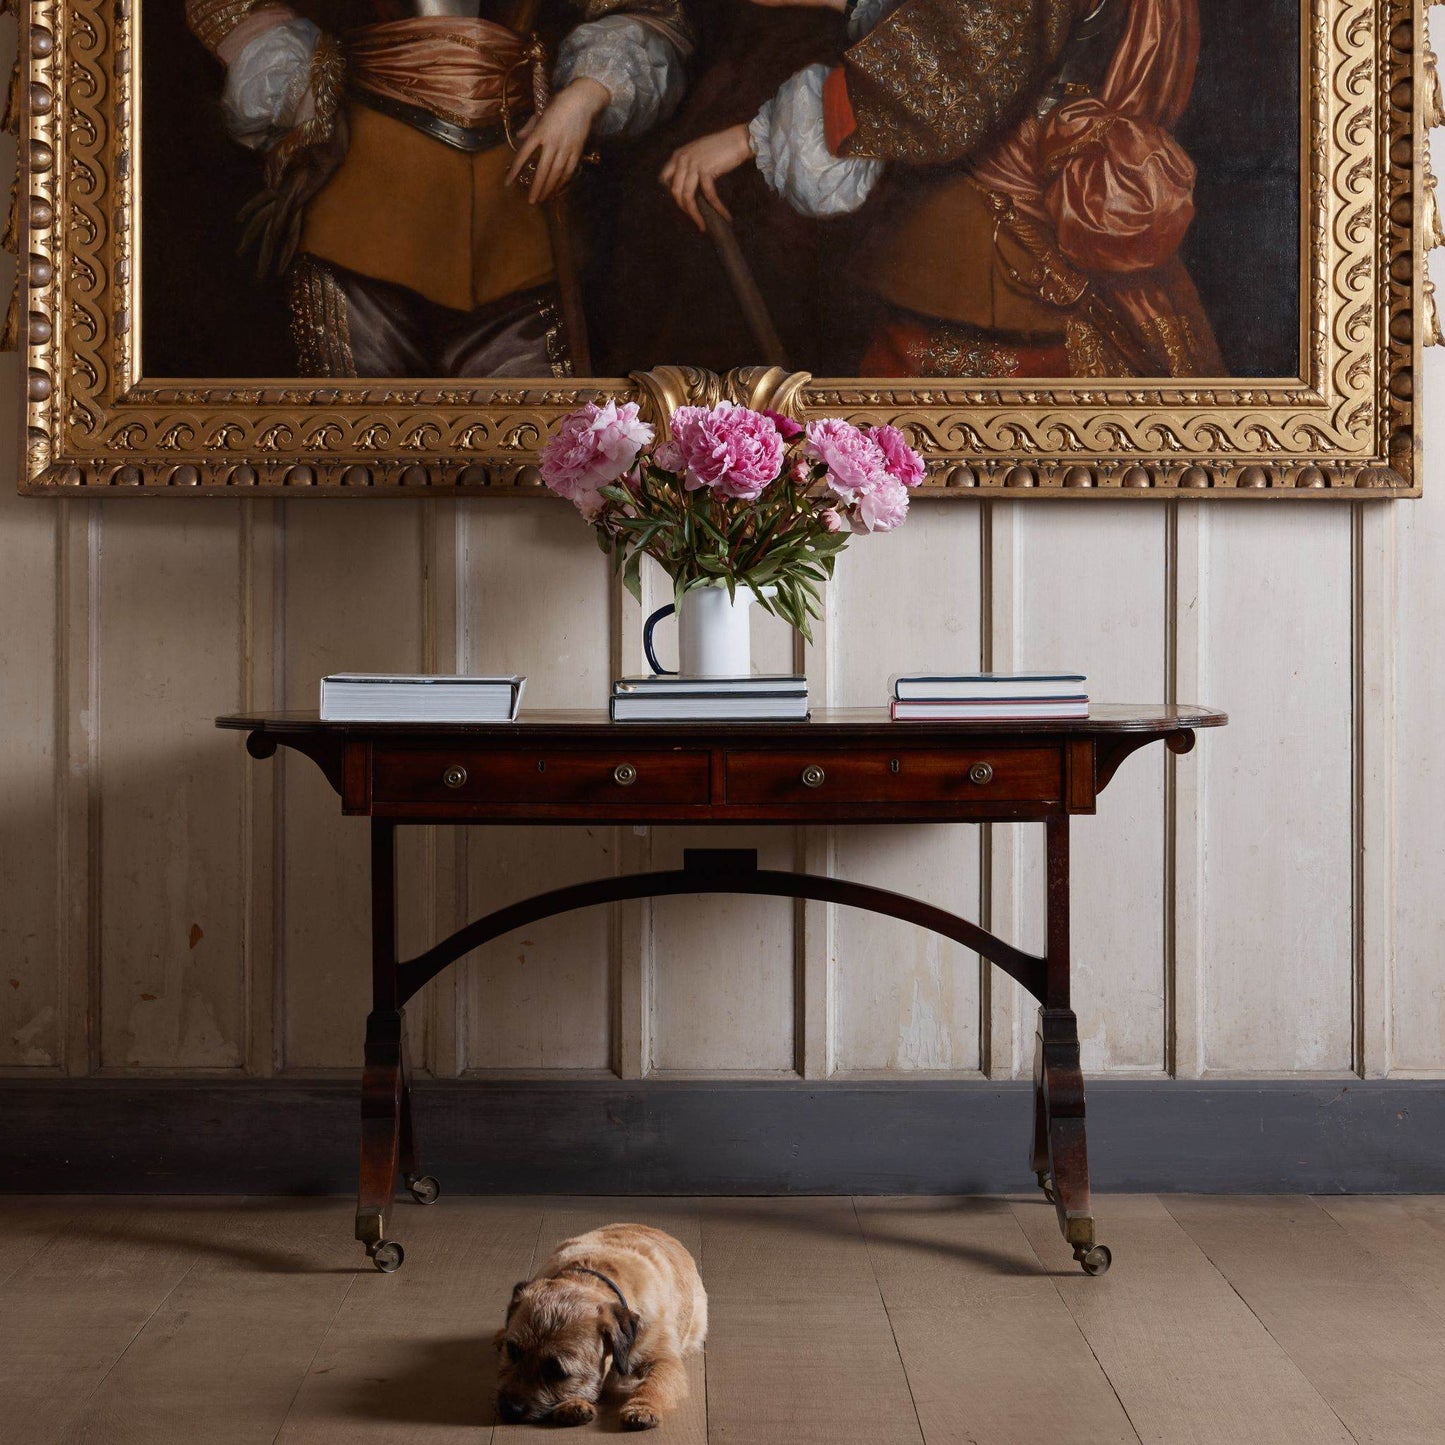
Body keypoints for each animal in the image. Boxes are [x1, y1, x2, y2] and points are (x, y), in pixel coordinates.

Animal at [491, 1225, 705, 1427]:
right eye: (513, 1351)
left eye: (557, 1371)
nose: (510, 1409)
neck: (591, 1279)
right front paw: (573, 1405)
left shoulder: (664, 1360)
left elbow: (655, 1383)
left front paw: (642, 1407)